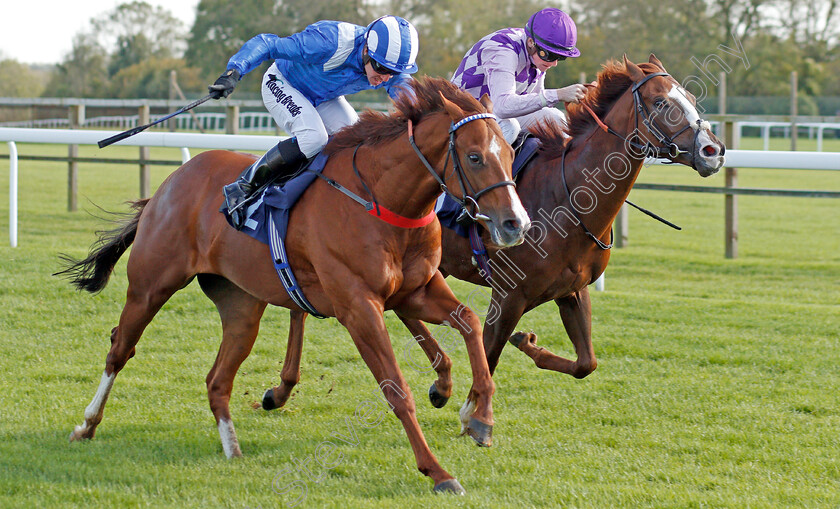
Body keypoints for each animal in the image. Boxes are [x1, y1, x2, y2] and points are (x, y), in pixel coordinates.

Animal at [59, 77, 528, 494]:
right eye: (473, 157)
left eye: (508, 152)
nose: (515, 223)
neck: (381, 200)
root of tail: (170, 183)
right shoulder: (358, 308)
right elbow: (397, 390)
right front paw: (438, 471)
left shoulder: (417, 291)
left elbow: (470, 322)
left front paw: (481, 417)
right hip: (150, 286)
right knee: (120, 349)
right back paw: (86, 425)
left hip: (242, 307)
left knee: (217, 380)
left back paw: (233, 449)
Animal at [260, 58, 720, 432]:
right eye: (660, 102)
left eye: (689, 97)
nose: (713, 150)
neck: (569, 194)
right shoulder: (510, 293)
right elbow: (491, 350)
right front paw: (474, 413)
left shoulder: (572, 290)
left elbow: (585, 363)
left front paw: (527, 345)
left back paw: (436, 381)